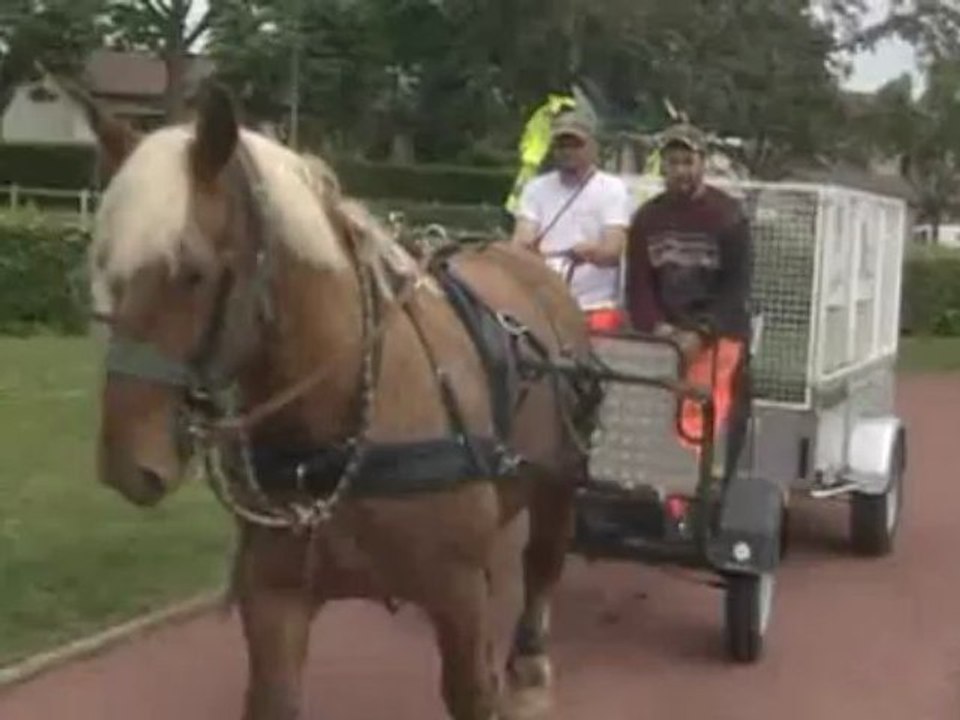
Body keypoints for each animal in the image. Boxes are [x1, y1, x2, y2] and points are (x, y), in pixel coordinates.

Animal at [87, 80, 603, 720]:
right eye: (105, 266)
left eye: (192, 271)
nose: (126, 464)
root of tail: (532, 262)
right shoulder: (275, 597)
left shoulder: (458, 595)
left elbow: (472, 689)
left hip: (560, 478)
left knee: (543, 560)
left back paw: (529, 663)